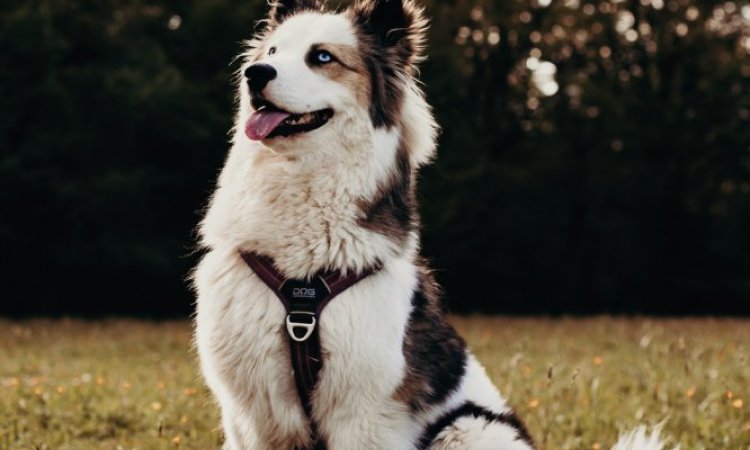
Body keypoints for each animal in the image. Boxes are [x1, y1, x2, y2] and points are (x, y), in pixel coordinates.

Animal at [191, 0, 680, 450]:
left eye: (322, 57)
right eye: (273, 50)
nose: (254, 73)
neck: (302, 285)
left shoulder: (363, 412)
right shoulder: (254, 412)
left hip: (471, 427)